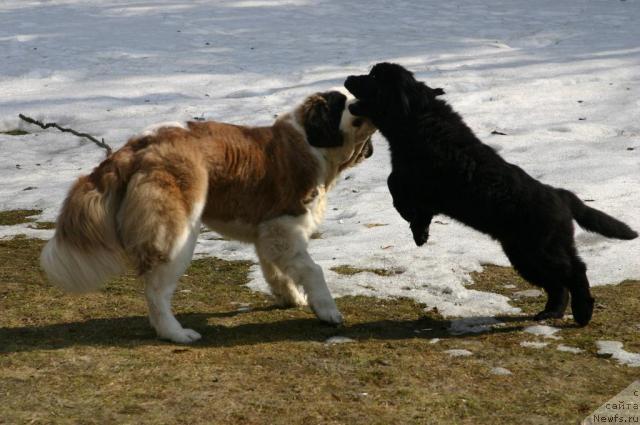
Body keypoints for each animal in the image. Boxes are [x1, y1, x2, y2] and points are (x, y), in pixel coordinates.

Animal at [41, 91, 376, 342]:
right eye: (341, 102)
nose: (361, 101)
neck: (308, 140)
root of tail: (136, 147)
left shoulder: (268, 233)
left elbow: (275, 270)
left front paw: (290, 297)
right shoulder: (284, 226)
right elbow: (313, 270)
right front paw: (327, 310)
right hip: (178, 233)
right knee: (156, 291)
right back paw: (176, 333)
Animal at [348, 63, 636, 324]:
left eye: (373, 77)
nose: (349, 77)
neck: (418, 119)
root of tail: (561, 195)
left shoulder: (417, 179)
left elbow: (393, 185)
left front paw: (411, 219)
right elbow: (407, 197)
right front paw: (421, 232)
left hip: (543, 249)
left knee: (576, 271)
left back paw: (583, 313)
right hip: (524, 255)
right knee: (557, 284)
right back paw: (550, 312)